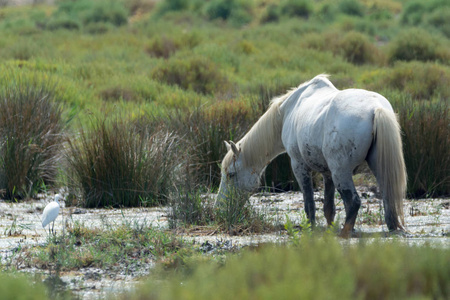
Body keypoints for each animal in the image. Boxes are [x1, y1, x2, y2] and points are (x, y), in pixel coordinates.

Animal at [218, 75, 408, 237]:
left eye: (231, 174)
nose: (221, 205)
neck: (287, 111)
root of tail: (376, 108)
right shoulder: (327, 173)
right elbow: (329, 208)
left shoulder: (299, 166)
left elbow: (309, 204)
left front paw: (311, 229)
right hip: (376, 168)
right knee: (387, 197)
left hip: (341, 172)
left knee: (353, 201)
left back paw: (344, 233)